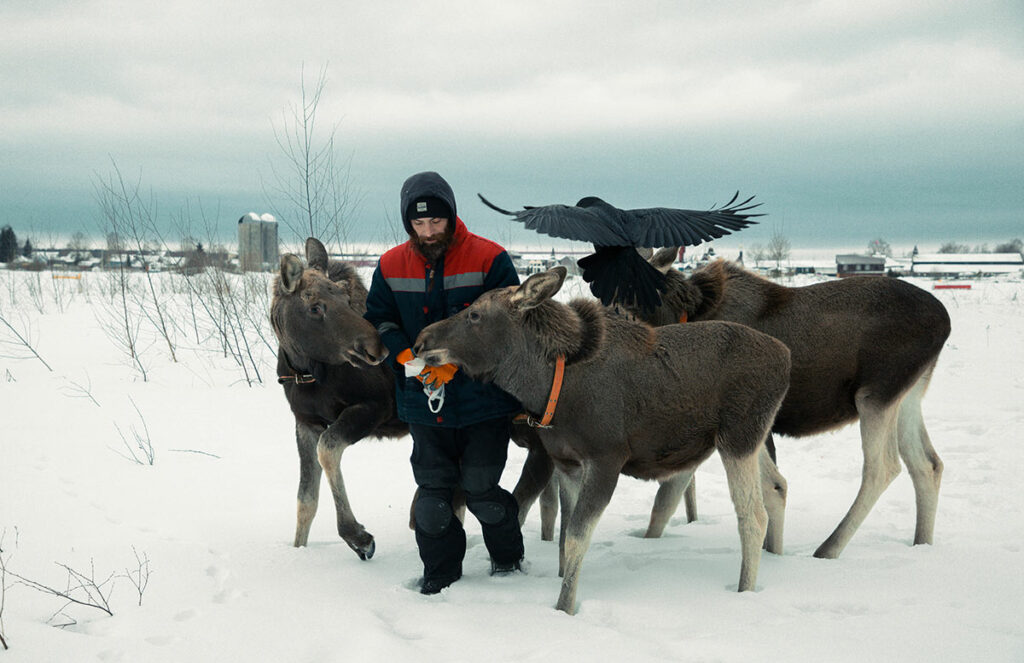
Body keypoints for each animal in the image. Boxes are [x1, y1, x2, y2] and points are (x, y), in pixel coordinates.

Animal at [415, 266, 790, 614]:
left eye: (475, 314)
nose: (421, 340)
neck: (548, 386)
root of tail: (785, 357)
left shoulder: (606, 459)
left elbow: (577, 536)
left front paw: (564, 606)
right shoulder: (567, 463)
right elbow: (564, 534)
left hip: (738, 437)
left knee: (752, 516)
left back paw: (745, 589)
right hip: (751, 438)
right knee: (776, 487)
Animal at [622, 250, 950, 561]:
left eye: (630, 303)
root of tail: (945, 322)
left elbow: (672, 496)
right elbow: (668, 500)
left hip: (875, 394)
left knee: (883, 467)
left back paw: (829, 548)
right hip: (908, 396)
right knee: (928, 463)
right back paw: (922, 542)